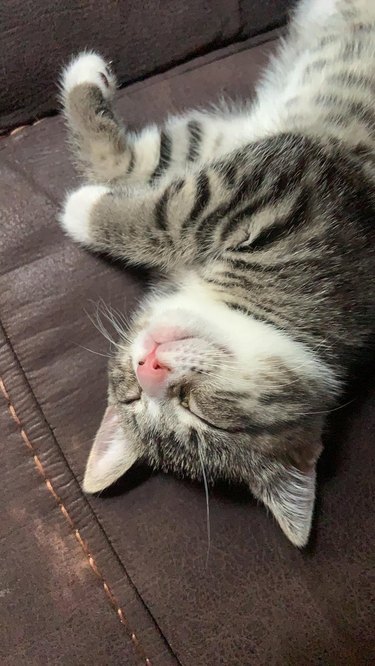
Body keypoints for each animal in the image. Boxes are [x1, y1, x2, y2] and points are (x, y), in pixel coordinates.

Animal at [59, 0, 375, 544]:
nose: (148, 368)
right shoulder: (230, 149)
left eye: (203, 415)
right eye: (131, 395)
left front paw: (82, 210)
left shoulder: (279, 182)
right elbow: (139, 163)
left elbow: (163, 211)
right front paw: (85, 77)